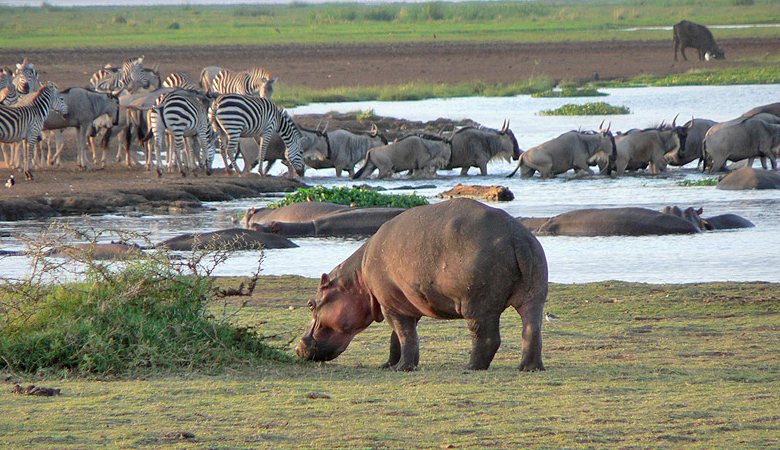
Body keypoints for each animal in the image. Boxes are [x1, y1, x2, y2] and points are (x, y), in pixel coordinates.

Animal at [298, 199, 548, 370]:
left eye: (311, 304)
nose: (298, 347)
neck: (356, 279)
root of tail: (517, 237)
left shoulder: (391, 305)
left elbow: (405, 336)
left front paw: (401, 368)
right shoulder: (401, 303)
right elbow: (397, 338)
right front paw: (389, 365)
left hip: (477, 304)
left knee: (487, 337)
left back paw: (471, 367)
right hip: (534, 294)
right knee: (531, 329)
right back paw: (528, 367)